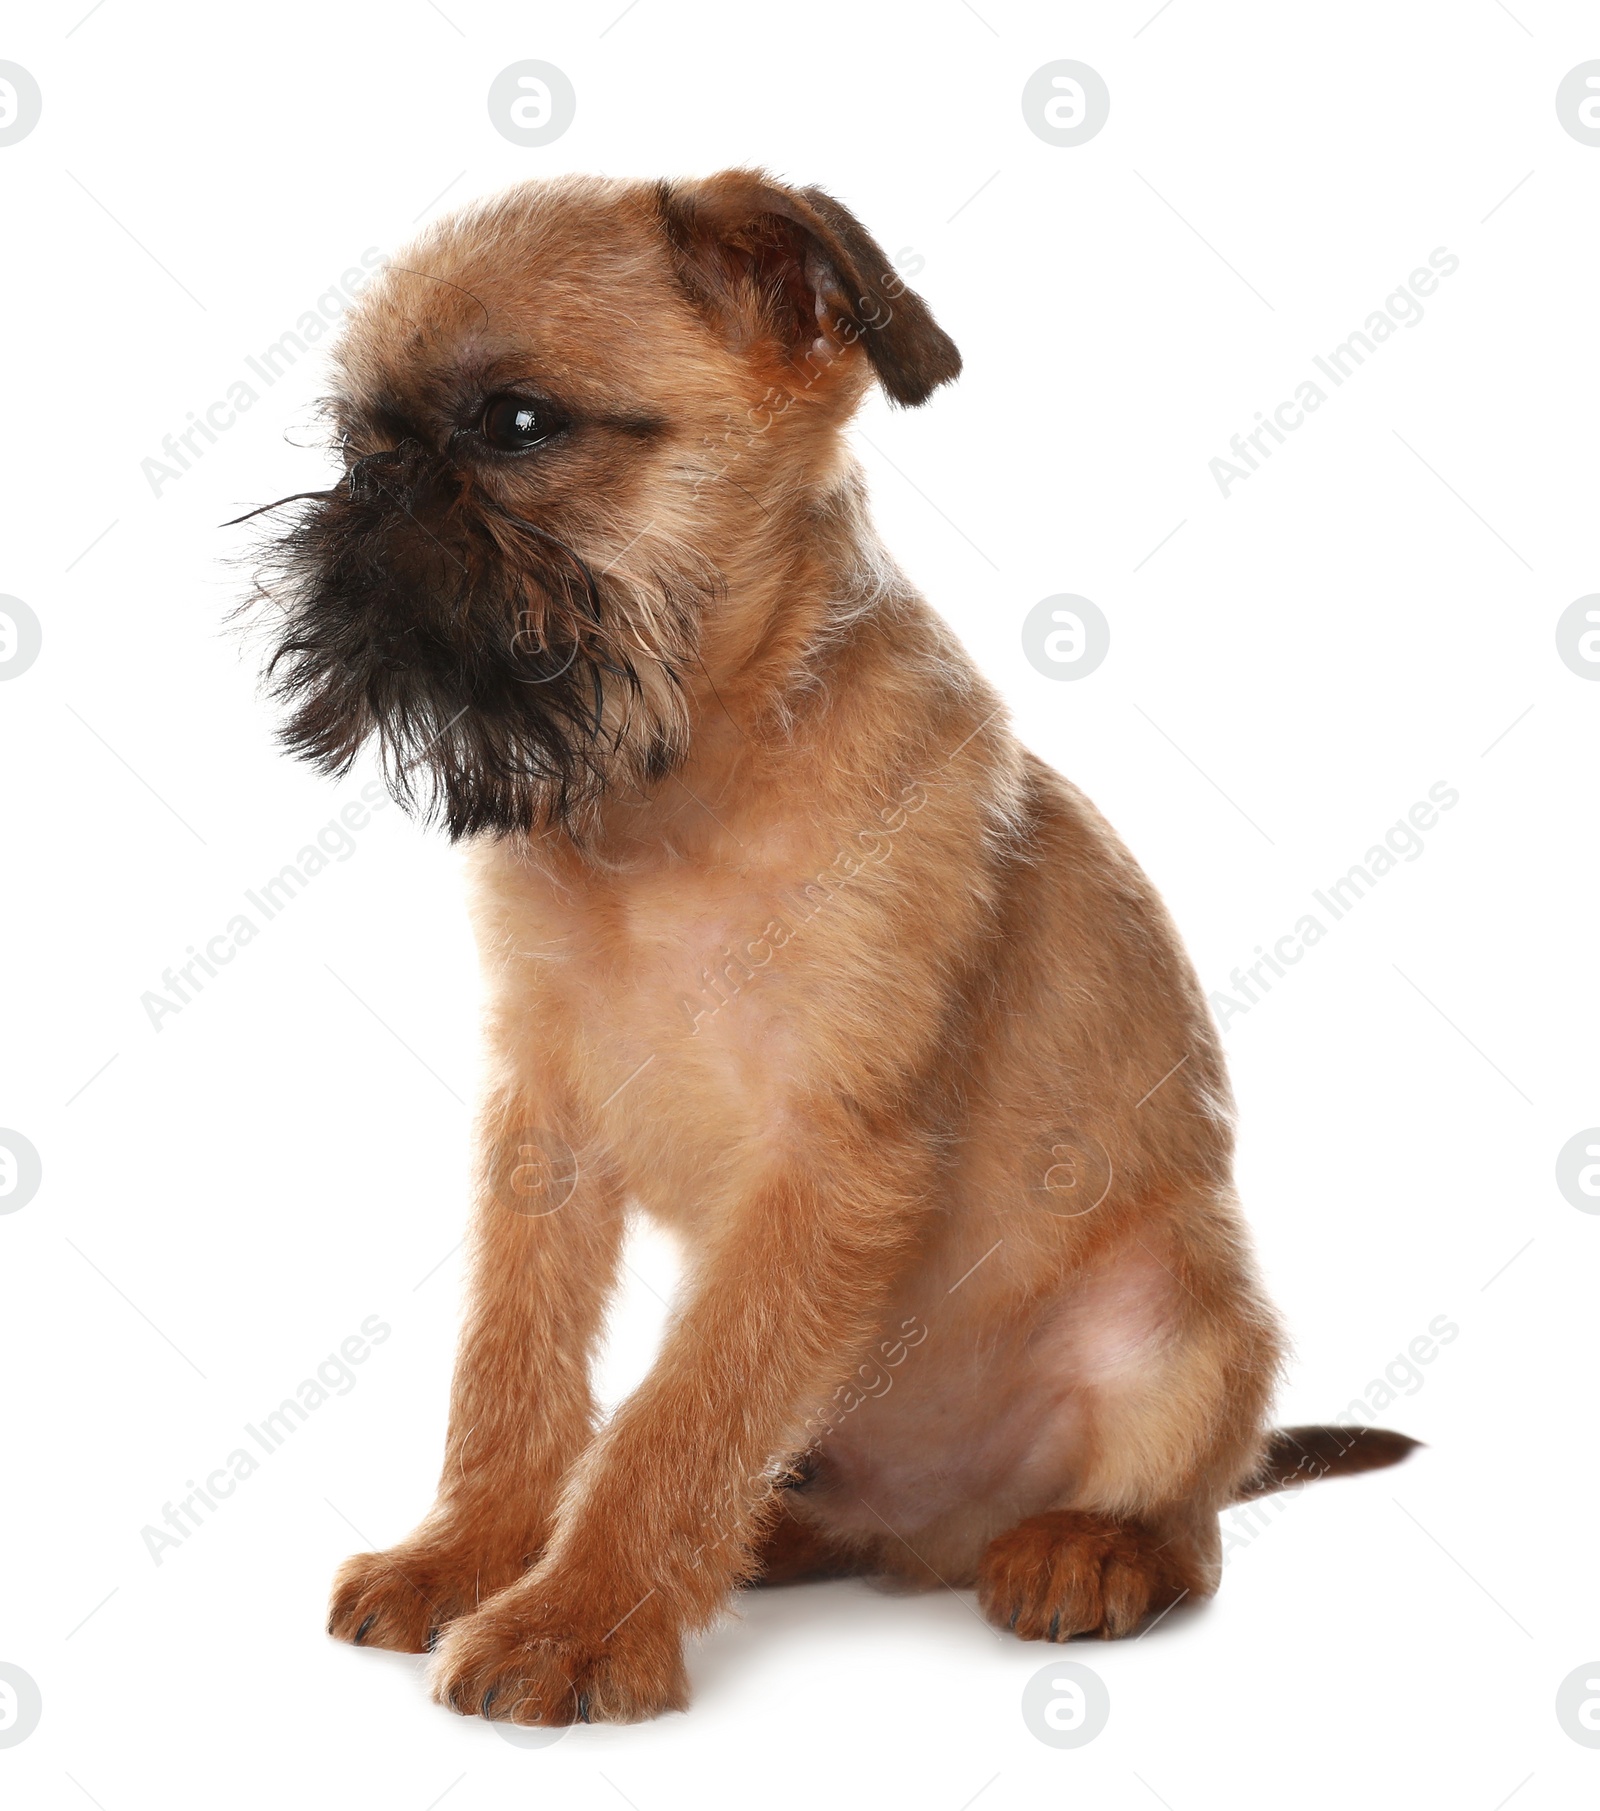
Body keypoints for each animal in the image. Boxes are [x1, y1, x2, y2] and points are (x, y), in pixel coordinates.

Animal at [244, 172, 1420, 1724]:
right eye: (353, 438)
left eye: (517, 423)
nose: (368, 493)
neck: (684, 788)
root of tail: (941, 1527)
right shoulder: (542, 1131)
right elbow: (516, 1366)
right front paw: (477, 1549)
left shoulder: (827, 1160)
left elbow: (680, 1409)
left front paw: (576, 1618)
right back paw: (773, 1537)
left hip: (1187, 1315)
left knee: (1195, 1518)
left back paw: (1092, 1548)